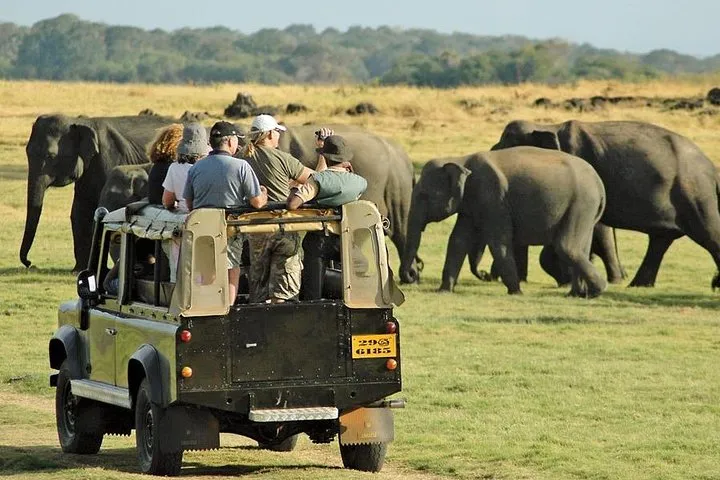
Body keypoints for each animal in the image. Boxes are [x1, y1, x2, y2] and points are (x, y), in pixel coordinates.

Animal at [20, 114, 176, 272]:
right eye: (27, 152)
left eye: (50, 156)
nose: (29, 263)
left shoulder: (109, 158)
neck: (80, 122)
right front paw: (79, 270)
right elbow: (80, 211)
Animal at [399, 147, 608, 297]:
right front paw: (443, 291)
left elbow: (498, 242)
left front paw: (516, 292)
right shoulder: (470, 204)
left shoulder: (494, 198)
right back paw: (577, 294)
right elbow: (457, 241)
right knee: (582, 248)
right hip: (585, 210)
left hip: (581, 203)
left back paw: (598, 290)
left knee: (566, 246)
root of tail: (599, 184)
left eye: (424, 195)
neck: (461, 160)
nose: (413, 274)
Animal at [492, 119, 720, 288]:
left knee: (708, 233)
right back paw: (637, 285)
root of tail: (711, 167)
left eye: (505, 146)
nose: (488, 276)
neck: (549, 126)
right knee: (660, 240)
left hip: (695, 194)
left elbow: (597, 229)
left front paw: (568, 278)